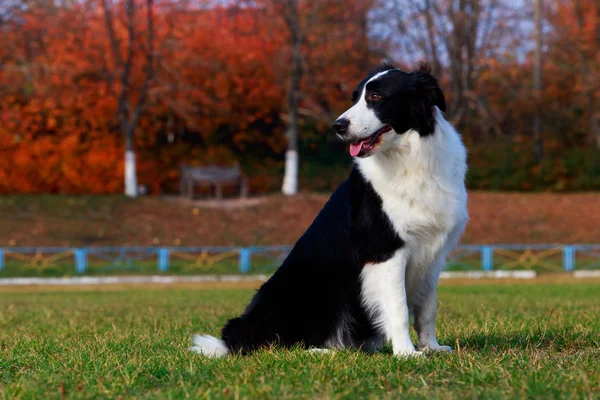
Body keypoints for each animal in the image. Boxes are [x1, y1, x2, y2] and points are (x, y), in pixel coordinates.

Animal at [192, 63, 468, 360]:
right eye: (355, 98)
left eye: (377, 97)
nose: (338, 126)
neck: (409, 157)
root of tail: (237, 335)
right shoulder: (385, 250)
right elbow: (399, 308)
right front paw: (406, 353)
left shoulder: (432, 254)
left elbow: (427, 308)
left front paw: (432, 347)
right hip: (317, 286)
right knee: (281, 344)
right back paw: (326, 351)